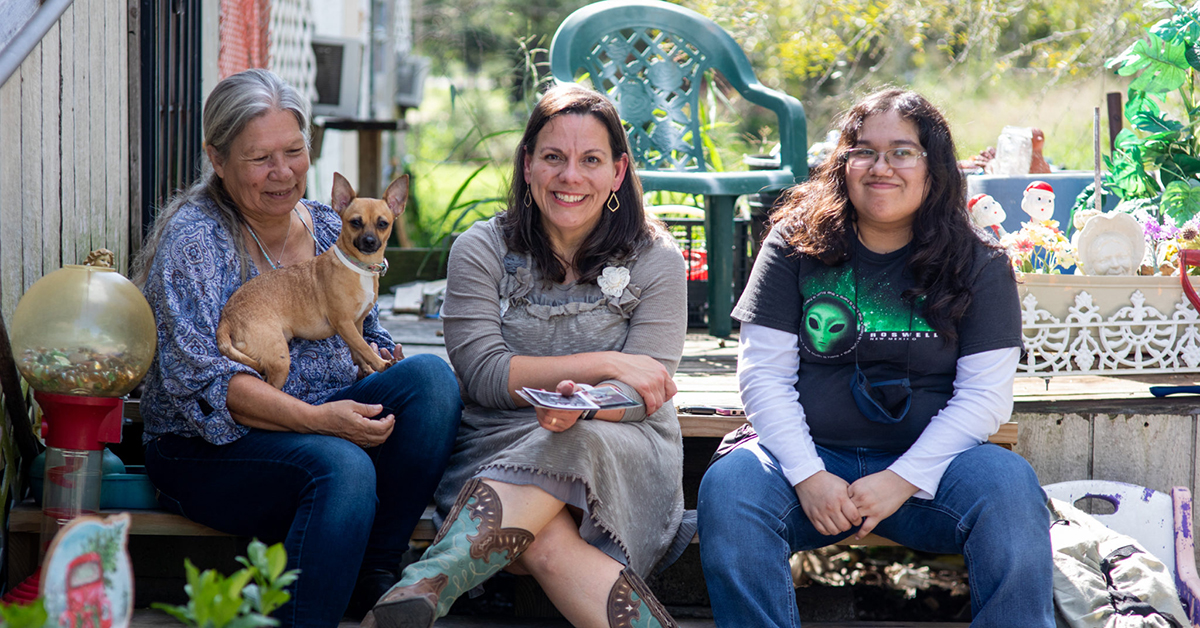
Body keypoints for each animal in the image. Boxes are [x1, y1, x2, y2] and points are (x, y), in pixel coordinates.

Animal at [220, 171, 412, 389]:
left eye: (383, 224)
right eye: (355, 222)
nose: (369, 241)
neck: (358, 266)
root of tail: (227, 319)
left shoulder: (356, 324)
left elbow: (358, 350)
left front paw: (367, 370)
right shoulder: (344, 324)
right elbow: (365, 348)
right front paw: (381, 364)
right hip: (279, 360)